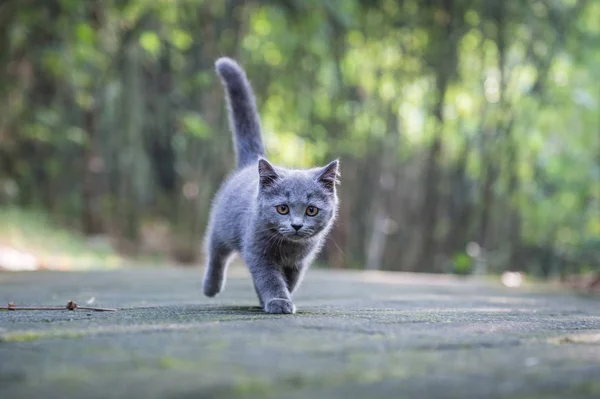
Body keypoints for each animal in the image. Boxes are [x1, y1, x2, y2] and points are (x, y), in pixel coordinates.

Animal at [202, 57, 340, 314]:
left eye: (311, 210)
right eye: (282, 208)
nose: (296, 225)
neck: (288, 247)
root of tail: (251, 161)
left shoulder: (298, 263)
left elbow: (289, 281)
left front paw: (277, 299)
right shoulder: (259, 253)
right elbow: (270, 279)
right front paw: (278, 301)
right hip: (222, 226)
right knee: (216, 253)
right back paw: (211, 287)